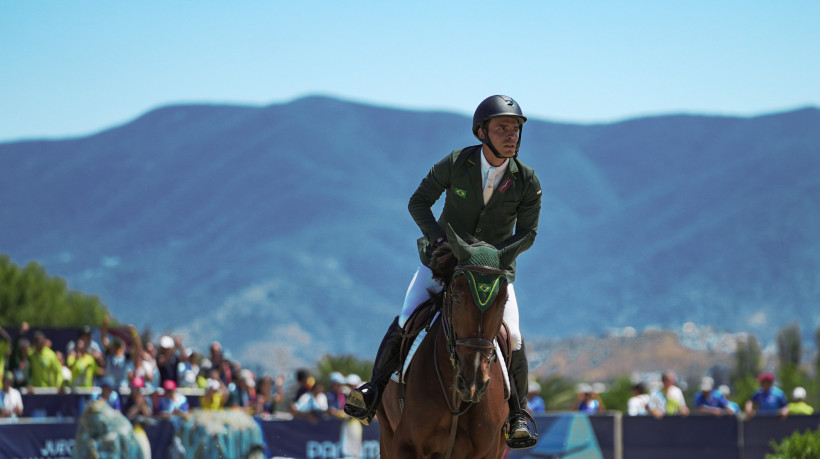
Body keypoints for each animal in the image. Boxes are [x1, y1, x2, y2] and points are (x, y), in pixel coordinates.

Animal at [374, 227, 524, 459]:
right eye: (456, 297)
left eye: (503, 302)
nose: (473, 383)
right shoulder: (405, 446)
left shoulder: (488, 452)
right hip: (386, 435)